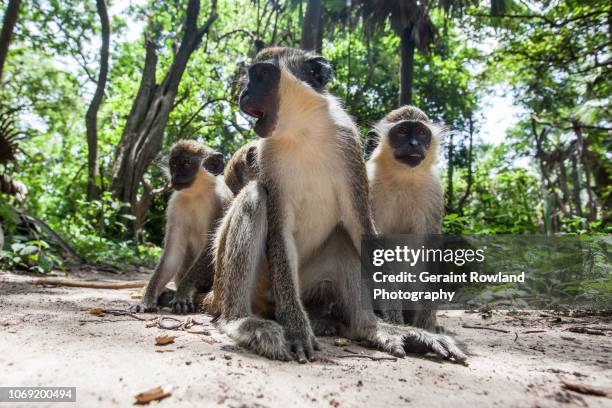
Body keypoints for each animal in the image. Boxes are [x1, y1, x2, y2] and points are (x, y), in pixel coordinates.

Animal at [131, 140, 232, 312]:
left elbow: (211, 246)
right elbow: (172, 252)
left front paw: (183, 293)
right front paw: (147, 299)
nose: (175, 176)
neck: (196, 193)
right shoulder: (175, 204)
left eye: (186, 163)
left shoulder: (220, 201)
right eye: (173, 164)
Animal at [209, 47, 464, 364]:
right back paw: (241, 321)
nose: (244, 93)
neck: (303, 131)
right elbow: (278, 230)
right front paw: (296, 329)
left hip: (308, 281)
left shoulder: (349, 147)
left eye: (262, 75)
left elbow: (361, 226)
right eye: (251, 77)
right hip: (238, 279)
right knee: (254, 196)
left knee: (344, 240)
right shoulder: (265, 154)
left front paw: (397, 324)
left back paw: (373, 328)